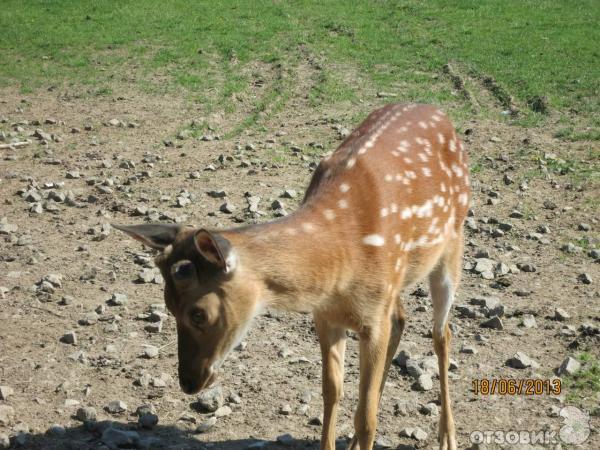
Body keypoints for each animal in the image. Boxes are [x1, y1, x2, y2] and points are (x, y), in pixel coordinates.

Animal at [112, 103, 468, 448]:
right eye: (168, 306)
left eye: (199, 313)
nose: (187, 382)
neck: (341, 264)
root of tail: (442, 115)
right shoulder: (326, 316)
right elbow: (331, 391)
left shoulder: (372, 317)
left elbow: (366, 420)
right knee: (402, 319)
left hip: (452, 244)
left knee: (442, 334)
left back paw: (448, 436)